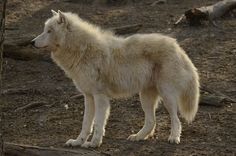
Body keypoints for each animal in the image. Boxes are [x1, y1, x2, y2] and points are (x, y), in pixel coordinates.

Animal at [31, 9, 199, 147]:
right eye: (44, 30)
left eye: (49, 31)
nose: (32, 42)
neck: (83, 50)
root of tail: (177, 45)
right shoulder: (88, 96)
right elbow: (86, 124)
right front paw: (78, 142)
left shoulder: (100, 97)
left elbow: (98, 124)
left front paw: (94, 143)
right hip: (145, 97)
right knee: (152, 122)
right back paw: (138, 137)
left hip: (167, 96)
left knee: (176, 119)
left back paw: (174, 138)